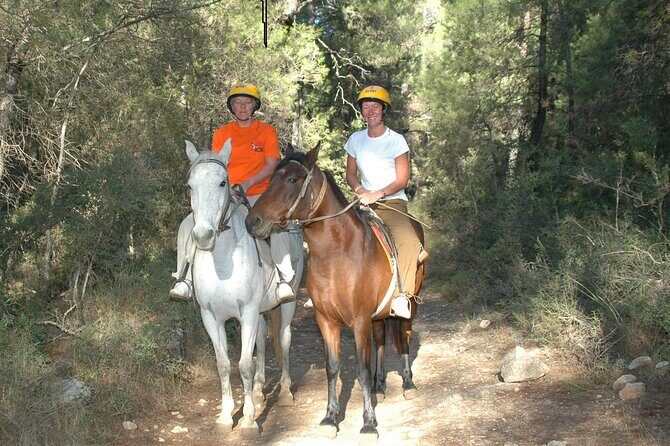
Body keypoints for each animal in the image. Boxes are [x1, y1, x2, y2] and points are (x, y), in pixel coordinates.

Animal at [183, 139, 302, 438]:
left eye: (223, 182)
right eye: (190, 185)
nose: (203, 236)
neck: (223, 262)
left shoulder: (246, 313)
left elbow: (244, 365)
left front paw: (248, 421)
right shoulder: (211, 317)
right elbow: (224, 365)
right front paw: (225, 417)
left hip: (287, 302)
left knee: (283, 339)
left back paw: (284, 393)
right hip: (259, 312)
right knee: (261, 340)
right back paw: (259, 392)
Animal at [245, 143, 425, 438]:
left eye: (292, 179)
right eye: (270, 178)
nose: (252, 221)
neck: (337, 253)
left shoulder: (359, 320)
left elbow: (361, 369)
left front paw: (368, 423)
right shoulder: (326, 320)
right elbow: (332, 367)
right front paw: (330, 418)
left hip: (410, 305)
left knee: (404, 335)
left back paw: (408, 384)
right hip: (378, 315)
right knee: (381, 340)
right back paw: (380, 386)